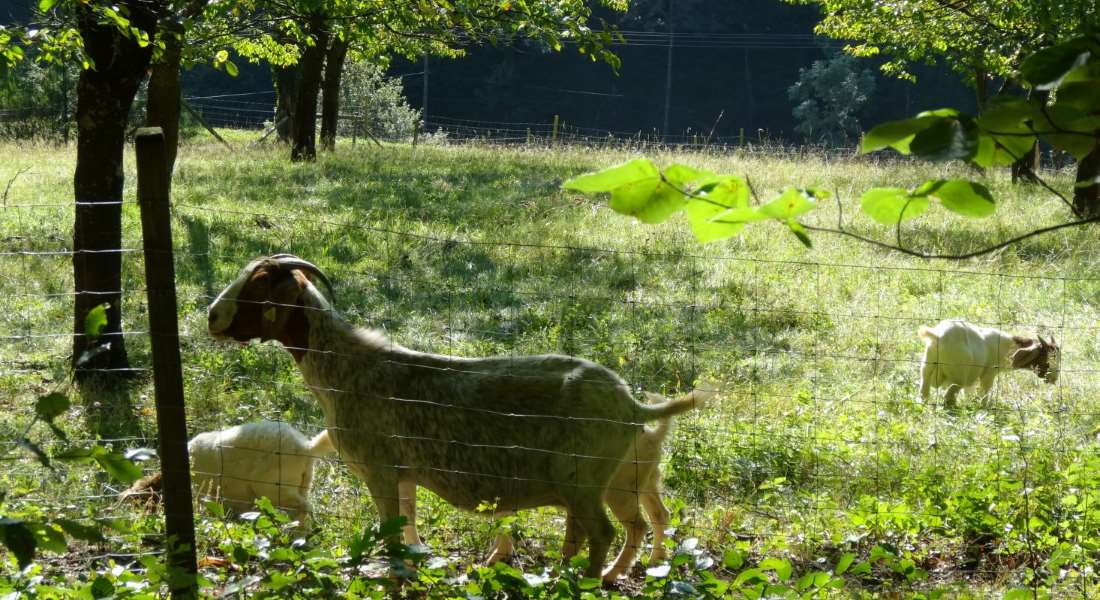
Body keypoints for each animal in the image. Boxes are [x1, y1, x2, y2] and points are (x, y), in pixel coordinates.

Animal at [207, 254, 712, 578]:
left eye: (260, 283)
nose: (212, 316)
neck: (348, 368)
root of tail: (632, 404)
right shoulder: (404, 474)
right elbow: (407, 530)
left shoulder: (379, 468)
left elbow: (390, 534)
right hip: (595, 482)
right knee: (595, 531)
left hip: (585, 479)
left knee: (606, 532)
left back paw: (589, 582)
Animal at [918, 319, 1060, 406]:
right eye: (1047, 361)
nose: (1054, 379)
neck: (1005, 346)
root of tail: (938, 336)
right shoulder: (989, 373)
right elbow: (984, 394)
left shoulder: (972, 380)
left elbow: (969, 393)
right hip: (959, 377)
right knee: (949, 396)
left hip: (926, 369)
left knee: (924, 393)